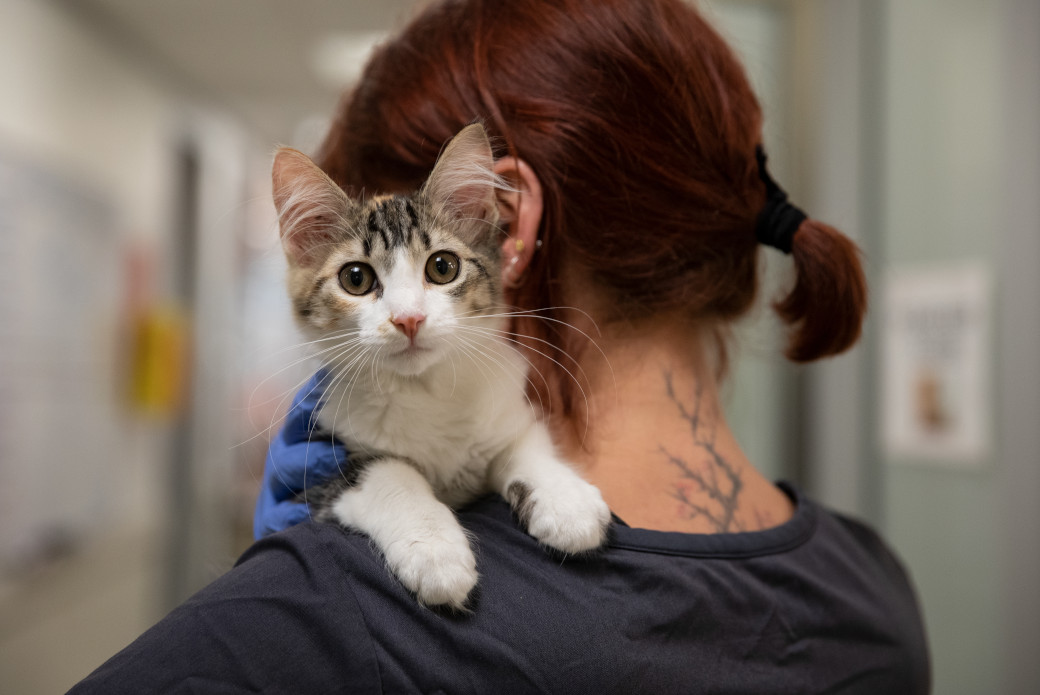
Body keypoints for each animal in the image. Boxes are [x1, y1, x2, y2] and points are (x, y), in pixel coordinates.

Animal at [270, 123, 607, 607]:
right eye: (356, 278)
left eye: (442, 267)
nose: (408, 318)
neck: (423, 391)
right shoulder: (319, 465)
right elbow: (389, 473)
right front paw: (433, 549)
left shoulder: (504, 411)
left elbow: (524, 444)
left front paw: (566, 498)